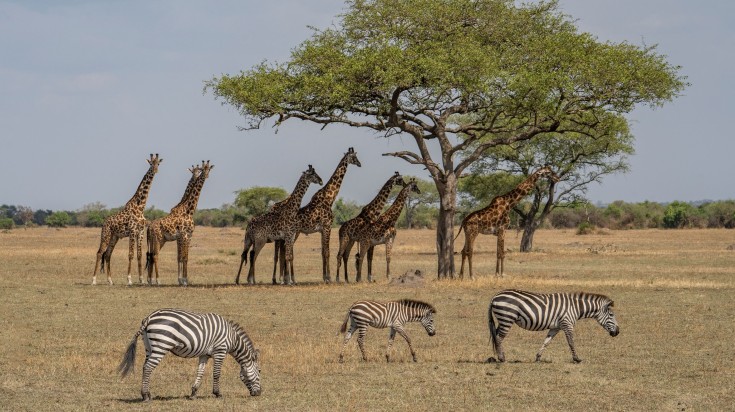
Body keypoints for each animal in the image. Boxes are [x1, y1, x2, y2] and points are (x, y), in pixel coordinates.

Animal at [92, 153, 162, 284]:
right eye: (151, 163)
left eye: (158, 163)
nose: (155, 170)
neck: (140, 206)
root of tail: (104, 223)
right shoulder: (132, 231)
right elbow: (130, 254)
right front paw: (129, 279)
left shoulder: (140, 232)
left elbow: (139, 255)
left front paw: (141, 279)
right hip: (106, 235)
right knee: (99, 253)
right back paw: (93, 280)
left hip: (114, 237)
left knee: (107, 254)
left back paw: (110, 280)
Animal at [118, 308, 262, 402]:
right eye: (259, 371)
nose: (259, 393)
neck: (232, 339)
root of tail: (149, 317)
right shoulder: (220, 351)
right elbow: (216, 373)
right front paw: (217, 393)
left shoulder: (205, 354)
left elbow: (200, 372)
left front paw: (193, 393)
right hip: (161, 345)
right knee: (148, 368)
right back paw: (146, 396)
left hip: (149, 347)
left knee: (145, 367)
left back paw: (147, 394)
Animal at [274, 147, 360, 284]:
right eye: (354, 157)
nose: (360, 163)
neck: (329, 198)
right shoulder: (327, 226)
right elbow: (327, 252)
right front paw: (329, 278)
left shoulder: (321, 230)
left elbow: (323, 252)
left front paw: (324, 277)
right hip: (293, 233)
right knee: (286, 251)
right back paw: (288, 279)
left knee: (284, 251)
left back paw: (285, 279)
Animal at [488, 288, 620, 362]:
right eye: (611, 315)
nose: (618, 332)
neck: (575, 308)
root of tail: (495, 296)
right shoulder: (567, 324)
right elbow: (571, 342)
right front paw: (576, 359)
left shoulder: (556, 327)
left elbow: (547, 342)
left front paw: (538, 357)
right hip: (507, 318)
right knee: (499, 338)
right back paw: (501, 358)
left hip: (502, 319)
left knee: (495, 336)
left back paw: (497, 356)